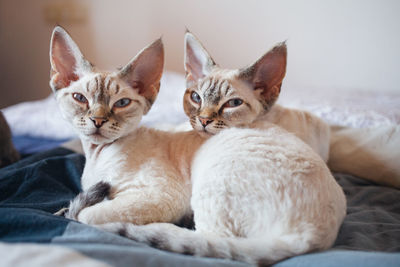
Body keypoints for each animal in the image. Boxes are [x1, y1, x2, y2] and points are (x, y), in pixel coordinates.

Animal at [50, 25, 206, 226]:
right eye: (80, 98)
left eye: (122, 103)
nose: (98, 120)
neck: (95, 155)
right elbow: (63, 210)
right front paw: (62, 212)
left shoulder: (161, 197)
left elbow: (84, 215)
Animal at [97, 31, 346, 266]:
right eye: (196, 97)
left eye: (233, 104)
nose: (204, 120)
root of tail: (309, 234)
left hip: (210, 192)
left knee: (208, 240)